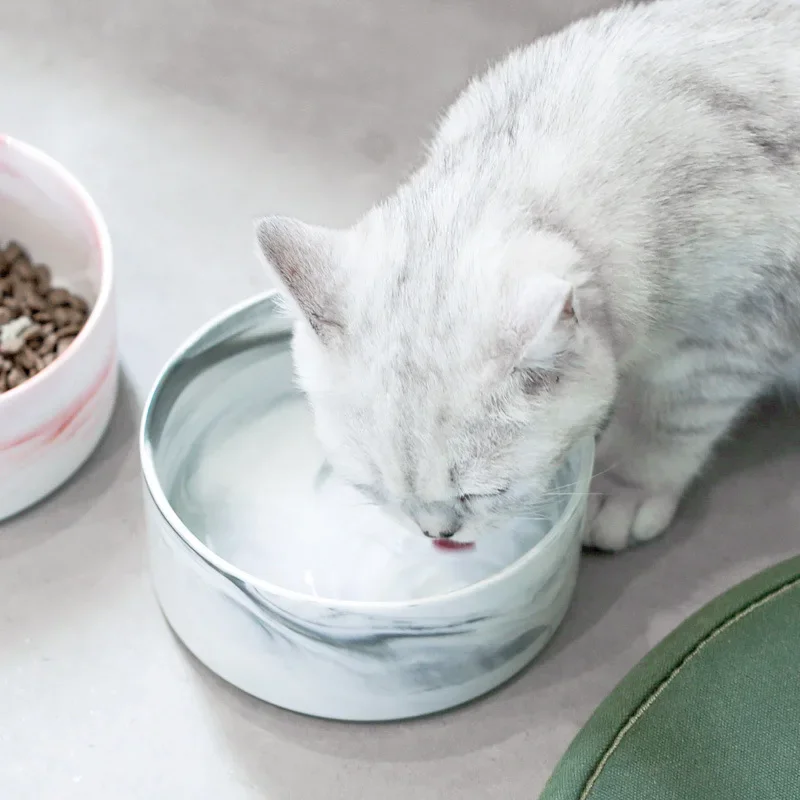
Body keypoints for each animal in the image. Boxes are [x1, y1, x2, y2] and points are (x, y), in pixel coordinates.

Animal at [253, 0, 800, 552]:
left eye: (483, 493)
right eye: (375, 489)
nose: (437, 534)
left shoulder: (729, 340)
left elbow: (665, 422)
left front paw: (624, 487)